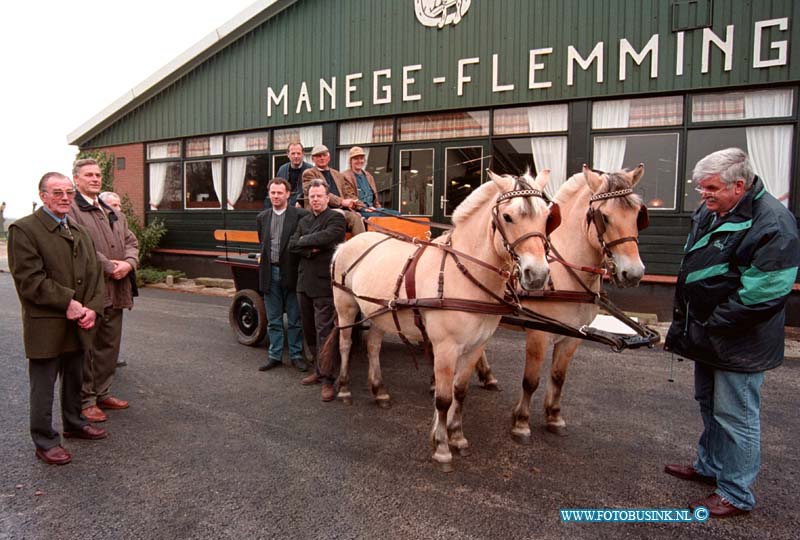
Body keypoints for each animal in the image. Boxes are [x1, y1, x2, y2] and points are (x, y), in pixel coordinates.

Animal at [506, 165, 648, 442]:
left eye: (638, 215)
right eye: (604, 217)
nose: (634, 273)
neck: (564, 272)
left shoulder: (574, 335)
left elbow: (559, 376)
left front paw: (554, 416)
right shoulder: (539, 334)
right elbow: (531, 380)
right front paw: (521, 422)